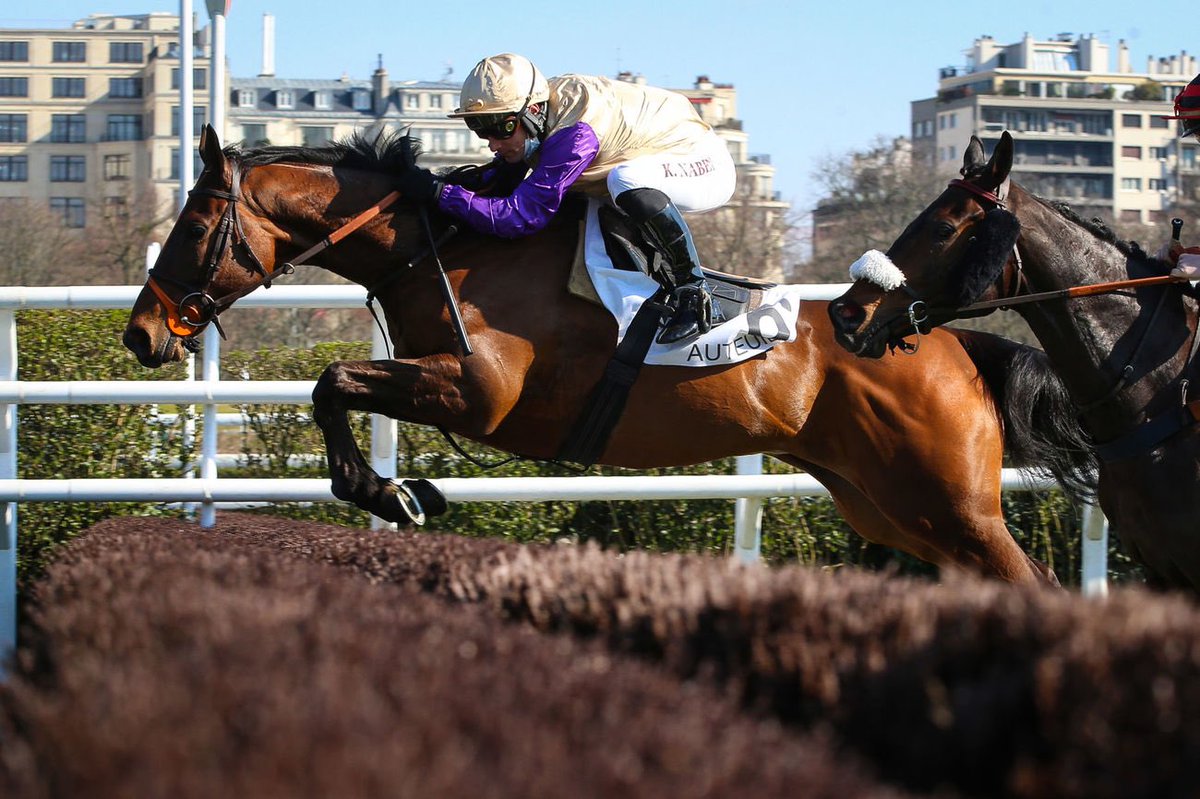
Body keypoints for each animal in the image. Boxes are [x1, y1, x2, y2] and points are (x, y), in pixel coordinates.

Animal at [126, 125, 1094, 585]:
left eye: (197, 228)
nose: (141, 331)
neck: (442, 246)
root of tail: (951, 340)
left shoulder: (478, 393)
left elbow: (332, 380)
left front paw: (391, 492)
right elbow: (332, 388)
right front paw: (394, 489)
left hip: (952, 506)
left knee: (1038, 582)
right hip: (891, 508)